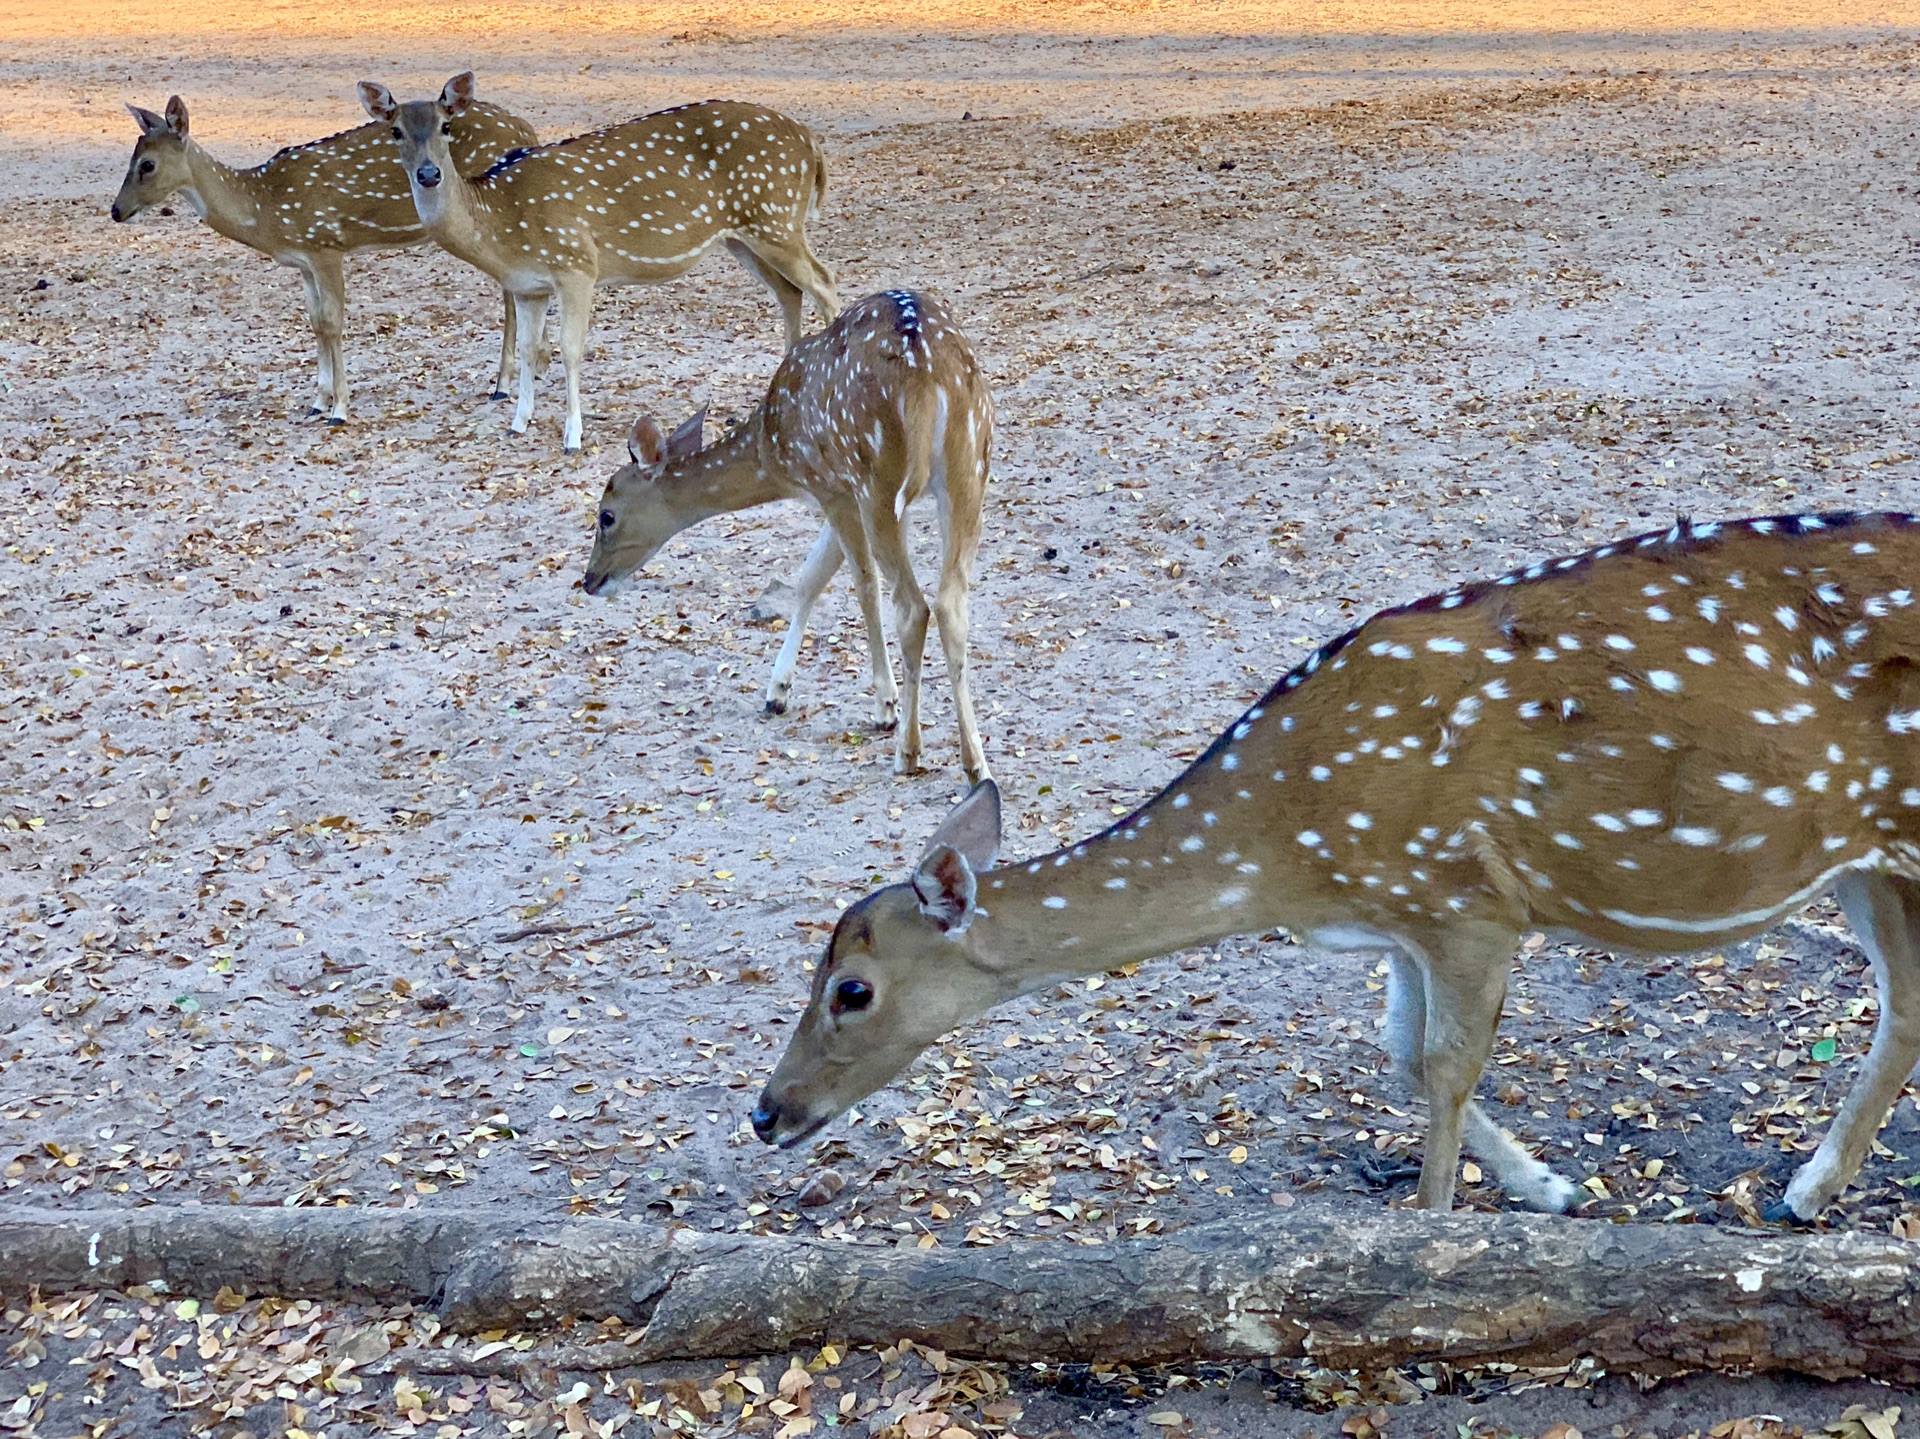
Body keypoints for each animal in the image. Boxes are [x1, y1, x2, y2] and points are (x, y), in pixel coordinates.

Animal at [112, 92, 541, 420]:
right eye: (131, 158)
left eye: (147, 164)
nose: (117, 210)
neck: (265, 210)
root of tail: (527, 128)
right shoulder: (303, 262)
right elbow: (316, 322)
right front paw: (317, 402)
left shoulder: (326, 244)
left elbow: (334, 322)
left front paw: (340, 409)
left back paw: (504, 385)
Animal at [360, 74, 840, 455]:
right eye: (395, 131)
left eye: (446, 126)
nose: (428, 175)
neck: (500, 224)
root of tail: (811, 143)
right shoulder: (528, 286)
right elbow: (528, 348)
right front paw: (518, 423)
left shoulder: (575, 264)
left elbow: (571, 349)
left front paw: (572, 437)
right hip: (743, 235)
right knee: (790, 291)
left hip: (775, 216)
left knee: (824, 282)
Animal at [579, 293, 990, 787]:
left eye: (606, 515)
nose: (590, 580)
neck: (771, 451)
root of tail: (928, 377)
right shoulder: (858, 496)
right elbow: (810, 578)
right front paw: (777, 691)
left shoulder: (834, 488)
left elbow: (859, 584)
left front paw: (884, 707)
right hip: (969, 464)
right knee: (951, 602)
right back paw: (976, 763)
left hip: (878, 476)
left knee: (913, 606)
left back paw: (908, 753)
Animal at [748, 511, 1920, 1221]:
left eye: (851, 988)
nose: (765, 1111)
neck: (1294, 846)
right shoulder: (1406, 915)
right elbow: (1398, 1052)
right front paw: (1551, 1186)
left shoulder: (1469, 896)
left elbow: (1444, 1065)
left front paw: (1430, 1229)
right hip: (1869, 862)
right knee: (1905, 1007)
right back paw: (1810, 1188)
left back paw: (1809, 1187)